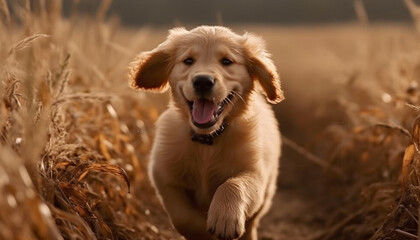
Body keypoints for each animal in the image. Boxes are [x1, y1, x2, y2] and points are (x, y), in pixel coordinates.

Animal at [130, 26, 284, 240]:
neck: (207, 141)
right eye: (188, 61)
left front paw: (224, 218)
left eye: (227, 61)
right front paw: (204, 232)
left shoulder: (255, 173)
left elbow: (232, 185)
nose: (203, 81)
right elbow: (183, 217)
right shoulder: (164, 176)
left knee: (251, 224)